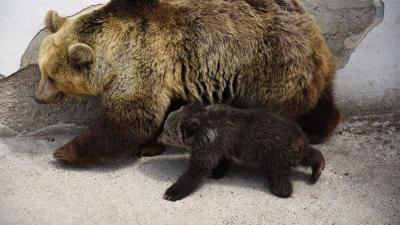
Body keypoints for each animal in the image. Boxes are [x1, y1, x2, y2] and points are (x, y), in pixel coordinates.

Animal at [35, 0, 340, 165]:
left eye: (51, 76)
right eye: (41, 70)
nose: (38, 97)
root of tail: (307, 22)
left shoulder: (140, 65)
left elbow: (129, 119)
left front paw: (65, 151)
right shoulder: (171, 74)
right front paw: (150, 145)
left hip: (268, 63)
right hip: (307, 62)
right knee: (322, 97)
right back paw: (320, 128)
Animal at [157, 103, 324, 200]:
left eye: (167, 131)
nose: (158, 137)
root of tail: (298, 137)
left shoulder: (208, 143)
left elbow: (197, 170)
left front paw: (172, 191)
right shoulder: (221, 145)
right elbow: (222, 161)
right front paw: (216, 173)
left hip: (275, 155)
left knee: (279, 178)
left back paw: (283, 191)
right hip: (292, 151)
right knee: (309, 155)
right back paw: (318, 169)